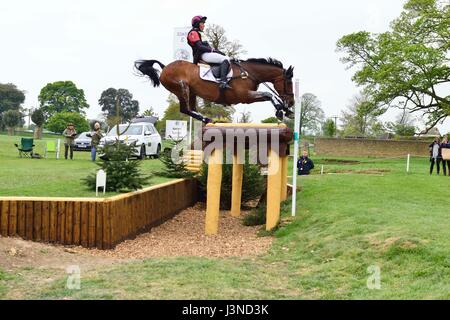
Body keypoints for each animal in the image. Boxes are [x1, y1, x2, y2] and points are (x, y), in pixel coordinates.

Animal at [134, 57, 296, 124]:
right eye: (289, 82)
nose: (292, 102)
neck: (249, 73)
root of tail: (164, 67)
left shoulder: (249, 97)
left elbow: (269, 96)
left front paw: (286, 110)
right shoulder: (245, 96)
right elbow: (269, 94)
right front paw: (280, 110)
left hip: (191, 92)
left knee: (191, 109)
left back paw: (207, 119)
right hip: (182, 88)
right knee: (185, 109)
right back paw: (208, 119)